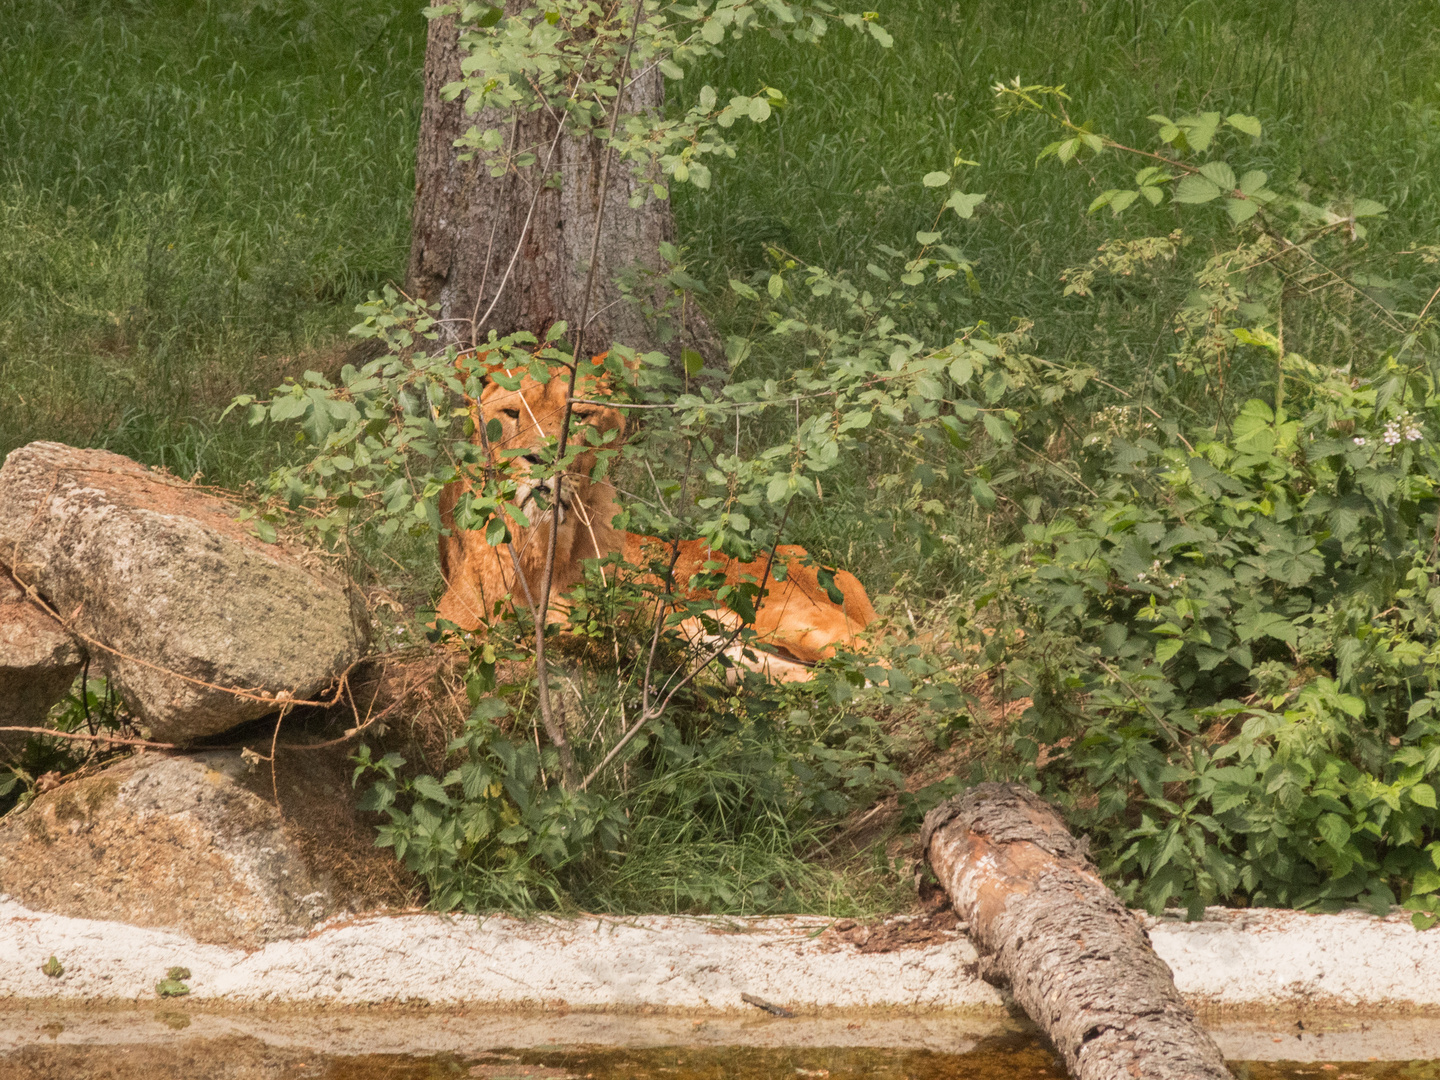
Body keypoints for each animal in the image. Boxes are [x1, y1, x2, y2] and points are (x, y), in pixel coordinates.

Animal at [432, 352, 869, 685]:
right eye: (511, 413)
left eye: (581, 416)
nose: (542, 460)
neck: (544, 548)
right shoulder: (450, 624)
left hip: (781, 617)